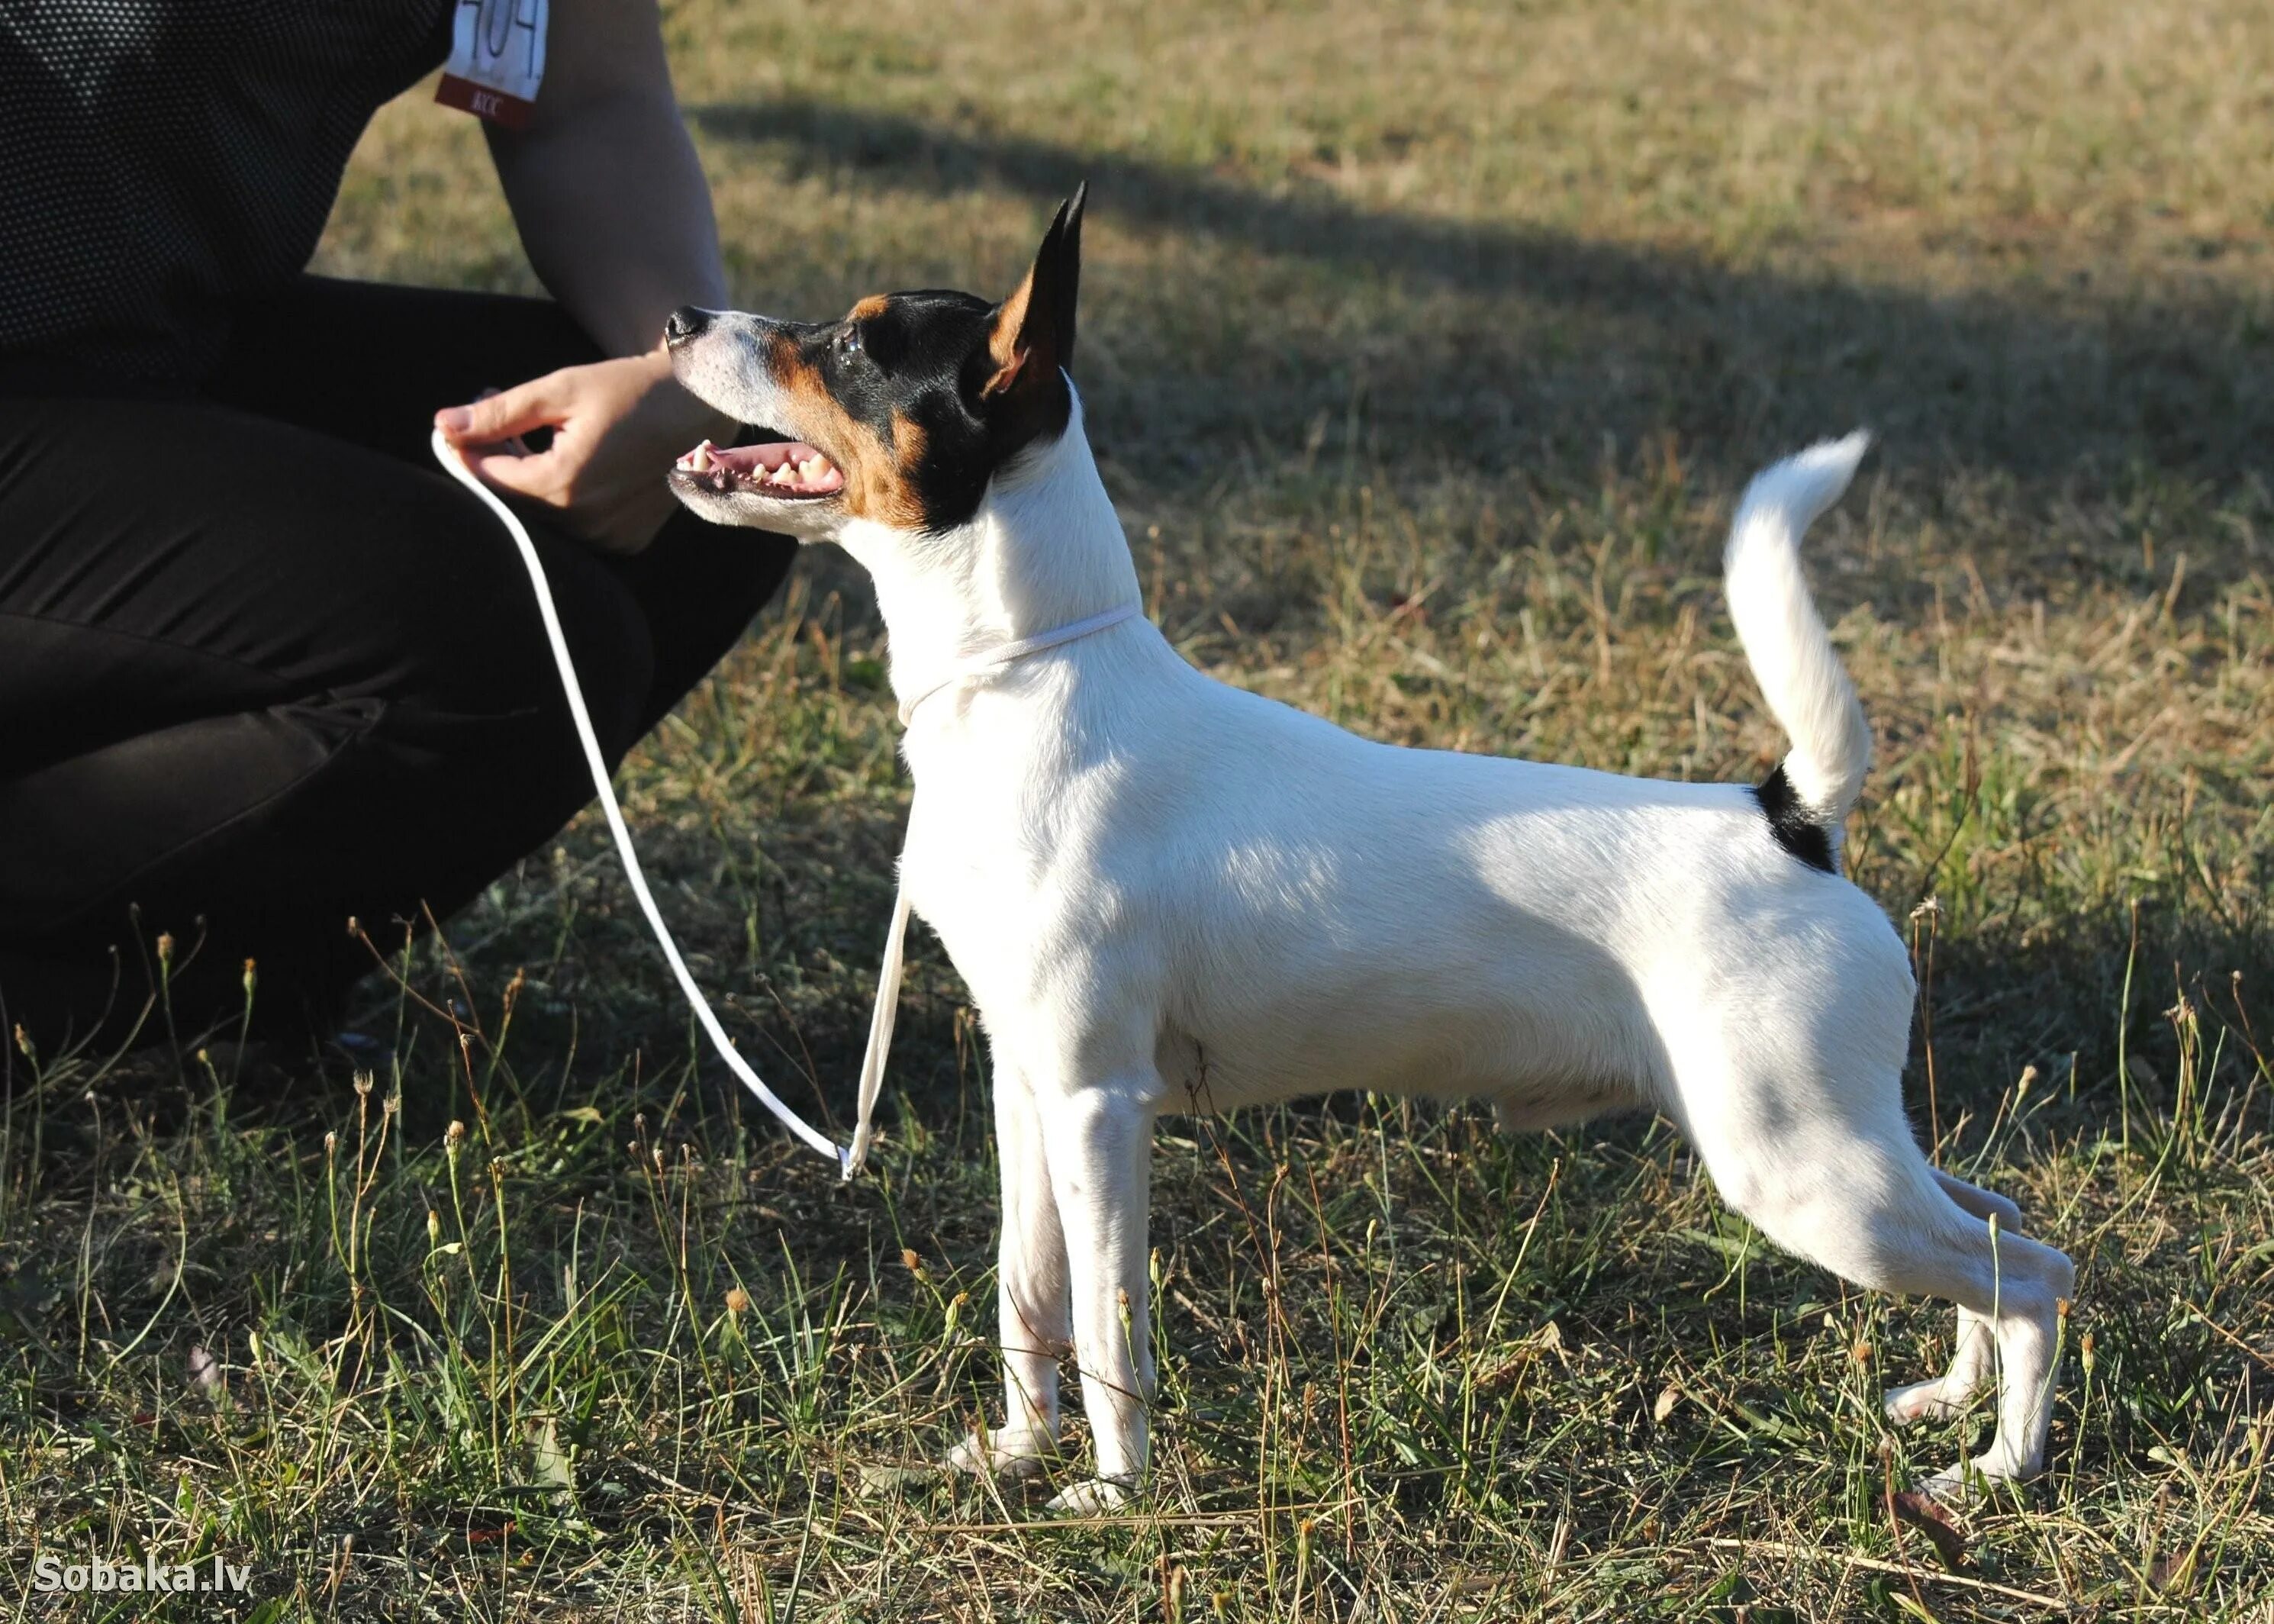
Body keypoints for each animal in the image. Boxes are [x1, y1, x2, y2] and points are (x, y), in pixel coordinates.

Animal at [664, 189, 2082, 1501]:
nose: (676, 319)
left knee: (2035, 1271)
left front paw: (1115, 1499)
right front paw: (1012, 1455)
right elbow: (1031, 1299)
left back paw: (1998, 1468)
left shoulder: (1096, 1107)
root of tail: (1787, 816)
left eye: (858, 344)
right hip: (1843, 1150)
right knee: (1998, 1219)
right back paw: (1950, 1400)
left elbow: (1113, 1329)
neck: (1033, 681)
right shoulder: (1029, 1092)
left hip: (1798, 1167)